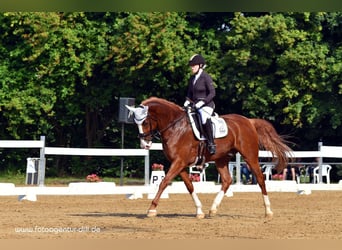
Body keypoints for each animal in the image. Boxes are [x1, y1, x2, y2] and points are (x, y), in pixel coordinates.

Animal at [125, 96, 292, 218]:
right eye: (135, 123)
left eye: (145, 122)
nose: (144, 145)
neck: (175, 127)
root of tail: (249, 121)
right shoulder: (179, 163)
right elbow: (189, 186)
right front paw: (199, 211)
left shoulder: (178, 162)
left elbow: (163, 182)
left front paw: (151, 209)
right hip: (221, 159)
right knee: (227, 180)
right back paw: (213, 209)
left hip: (250, 156)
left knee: (260, 179)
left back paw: (268, 211)